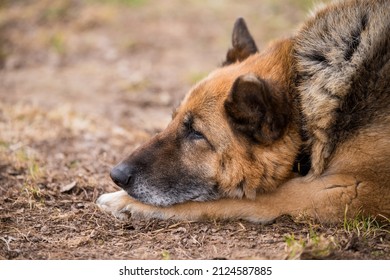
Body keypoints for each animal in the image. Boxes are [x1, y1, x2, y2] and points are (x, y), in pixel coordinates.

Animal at [96, 0, 390, 223]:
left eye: (196, 133)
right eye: (173, 119)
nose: (116, 176)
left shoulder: (349, 189)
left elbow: (232, 197)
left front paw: (123, 201)